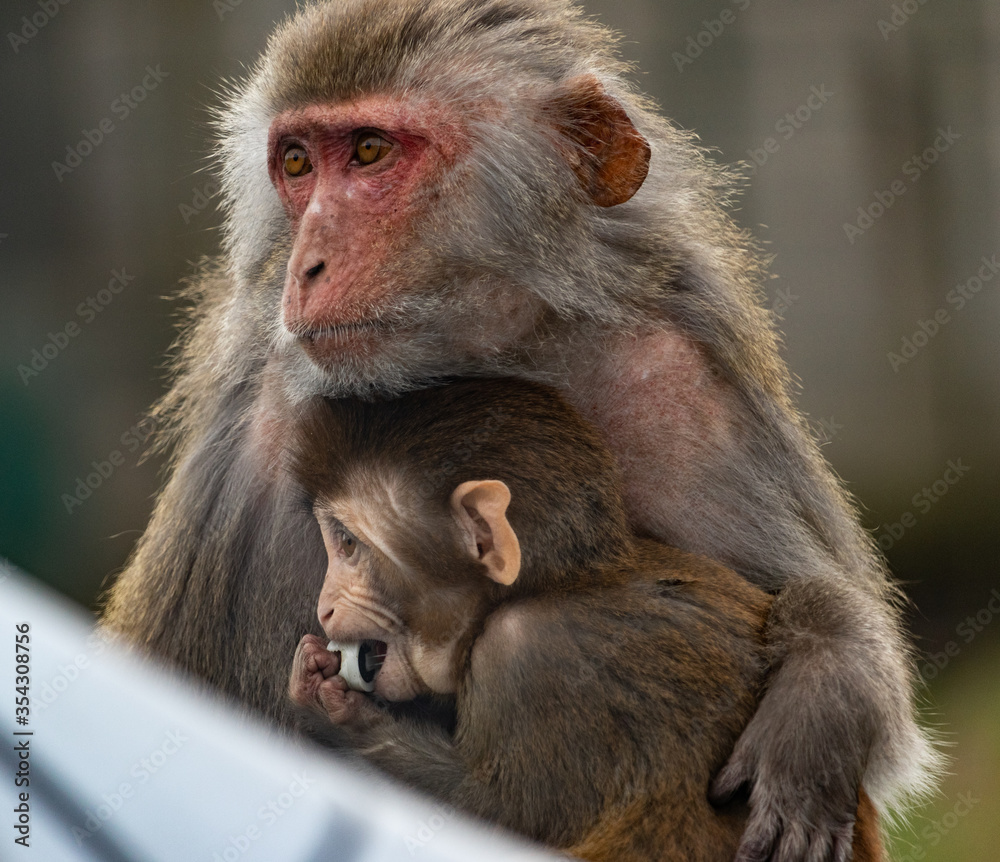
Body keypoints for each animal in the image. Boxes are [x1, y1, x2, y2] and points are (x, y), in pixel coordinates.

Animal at [285, 377, 885, 862]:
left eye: (346, 543)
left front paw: (336, 710)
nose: (325, 605)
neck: (566, 584)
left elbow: (495, 817)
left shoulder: (525, 657)